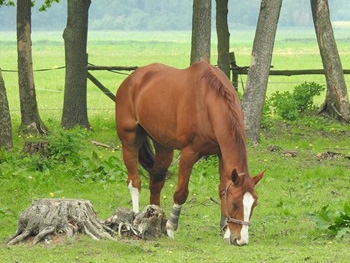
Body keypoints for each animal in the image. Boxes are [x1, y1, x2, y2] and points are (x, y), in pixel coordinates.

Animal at [116, 60, 264, 246]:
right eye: (235, 204)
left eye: (254, 204)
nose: (241, 240)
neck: (207, 102)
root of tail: (132, 79)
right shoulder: (189, 153)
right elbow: (181, 193)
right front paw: (171, 227)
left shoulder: (221, 154)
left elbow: (223, 188)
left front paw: (226, 231)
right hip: (130, 139)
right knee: (134, 181)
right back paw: (136, 218)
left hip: (163, 145)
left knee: (156, 181)